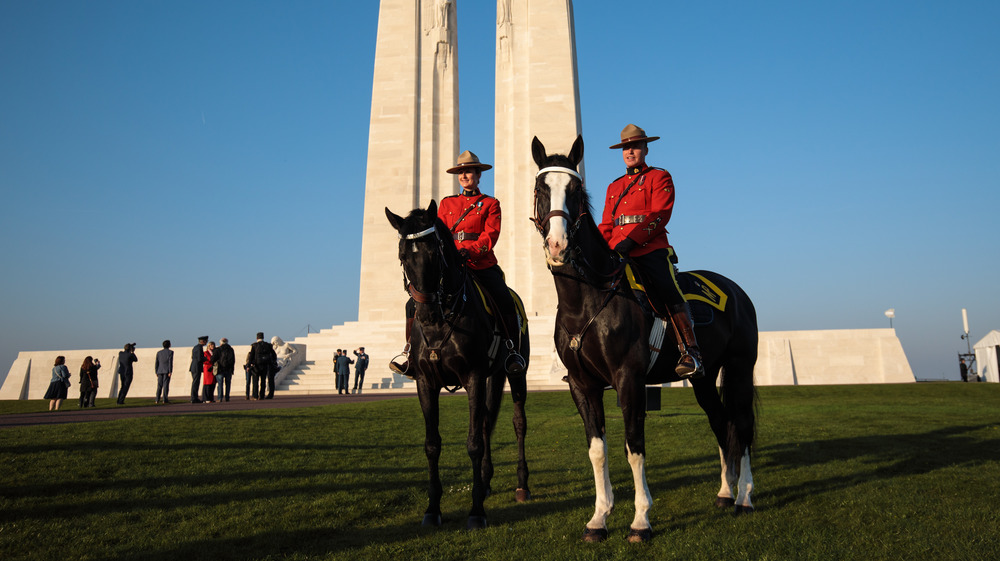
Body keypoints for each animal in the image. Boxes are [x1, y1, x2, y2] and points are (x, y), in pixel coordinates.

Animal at [382, 200, 532, 528]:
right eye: (403, 256)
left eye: (434, 253)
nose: (425, 312)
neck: (442, 320)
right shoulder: (425, 383)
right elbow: (432, 444)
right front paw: (432, 508)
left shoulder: (473, 376)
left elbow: (473, 442)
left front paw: (476, 512)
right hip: (492, 376)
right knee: (487, 420)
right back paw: (486, 482)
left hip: (517, 372)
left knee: (518, 422)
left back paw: (522, 485)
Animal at [532, 133, 756, 540]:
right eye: (542, 188)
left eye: (575, 190)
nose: (558, 246)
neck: (585, 299)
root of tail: (735, 289)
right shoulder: (582, 385)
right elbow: (598, 449)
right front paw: (599, 517)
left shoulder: (629, 379)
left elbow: (633, 446)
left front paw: (640, 519)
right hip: (702, 377)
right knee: (721, 422)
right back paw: (725, 492)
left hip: (741, 368)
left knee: (742, 425)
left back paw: (745, 496)